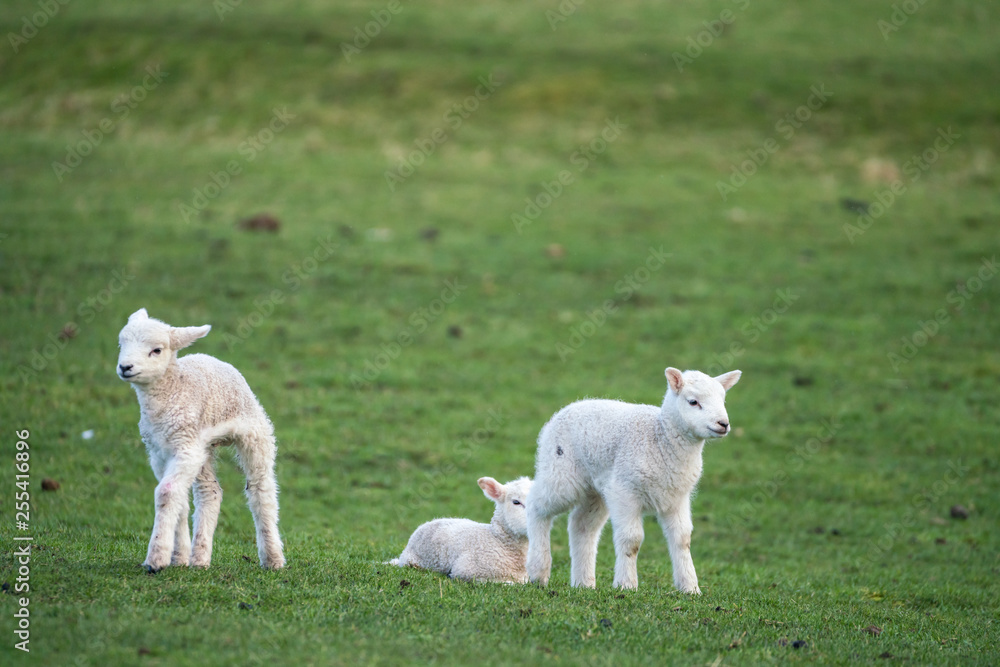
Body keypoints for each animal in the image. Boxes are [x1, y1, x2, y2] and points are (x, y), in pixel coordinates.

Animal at [116, 308, 285, 572]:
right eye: (121, 344)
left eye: (157, 350)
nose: (125, 367)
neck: (173, 391)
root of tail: (215, 359)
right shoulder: (159, 452)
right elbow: (178, 498)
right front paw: (177, 556)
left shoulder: (185, 448)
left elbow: (166, 492)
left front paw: (156, 558)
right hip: (202, 446)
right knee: (210, 492)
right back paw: (200, 558)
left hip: (254, 433)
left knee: (261, 489)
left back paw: (273, 558)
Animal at [525, 367, 741, 593]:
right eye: (693, 402)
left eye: (723, 400)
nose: (723, 424)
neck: (660, 438)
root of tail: (567, 408)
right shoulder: (625, 491)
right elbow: (632, 540)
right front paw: (626, 584)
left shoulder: (677, 497)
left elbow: (683, 539)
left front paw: (690, 588)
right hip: (560, 472)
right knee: (536, 505)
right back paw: (538, 571)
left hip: (597, 489)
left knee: (581, 525)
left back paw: (583, 583)